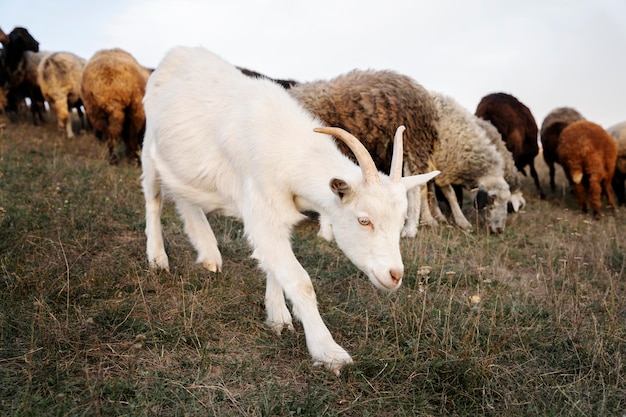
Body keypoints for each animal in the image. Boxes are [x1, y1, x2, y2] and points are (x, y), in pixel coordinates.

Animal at [428, 91, 512, 232]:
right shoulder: (441, 167)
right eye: (491, 200)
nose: (500, 230)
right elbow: (450, 194)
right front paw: (461, 221)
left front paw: (437, 215)